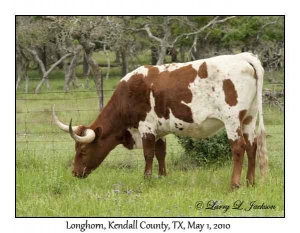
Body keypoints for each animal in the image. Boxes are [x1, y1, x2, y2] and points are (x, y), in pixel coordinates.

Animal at [53, 52, 268, 187]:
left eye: (82, 150)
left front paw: (147, 179)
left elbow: (148, 154)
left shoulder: (146, 127)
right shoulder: (160, 130)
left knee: (239, 148)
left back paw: (235, 184)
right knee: (252, 147)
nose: (75, 173)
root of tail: (243, 57)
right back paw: (250, 182)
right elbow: (160, 153)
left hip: (232, 119)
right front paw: (162, 177)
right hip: (249, 117)